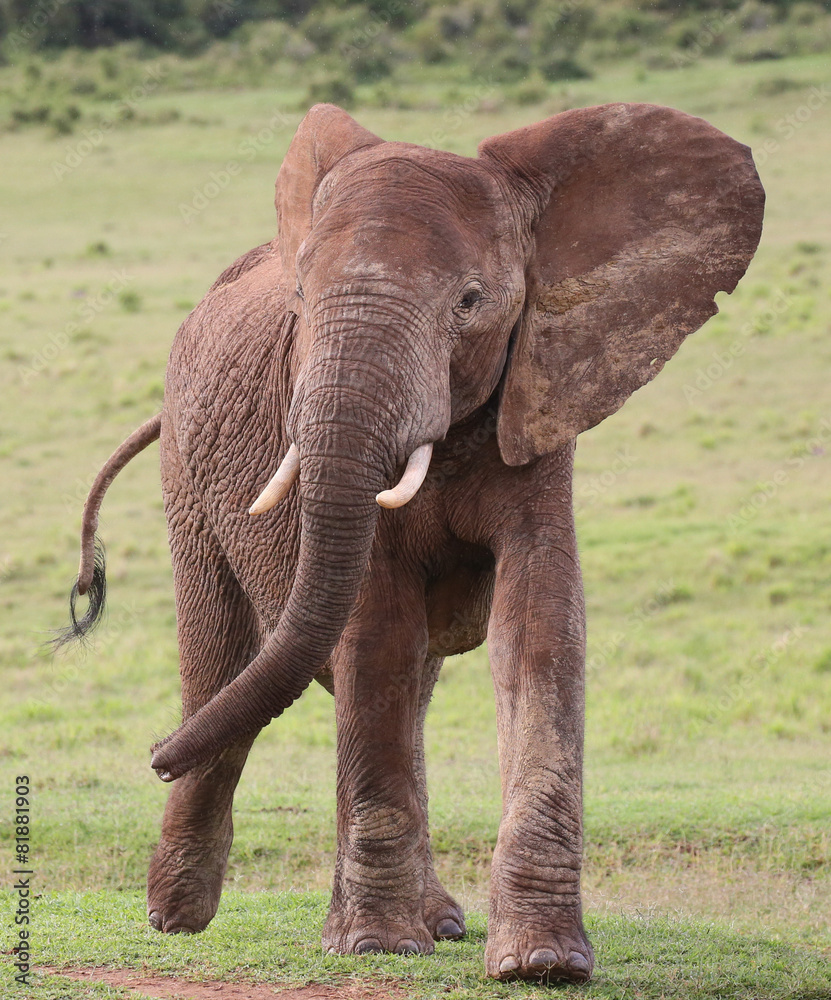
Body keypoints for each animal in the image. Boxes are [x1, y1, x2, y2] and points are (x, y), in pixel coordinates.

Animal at [58, 102, 764, 982]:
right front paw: (377, 948)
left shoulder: (540, 390)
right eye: (301, 295)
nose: (153, 753)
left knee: (401, 681)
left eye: (470, 301)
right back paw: (175, 917)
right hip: (187, 468)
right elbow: (376, 631)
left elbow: (538, 627)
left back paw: (436, 923)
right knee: (220, 651)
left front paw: (541, 964)